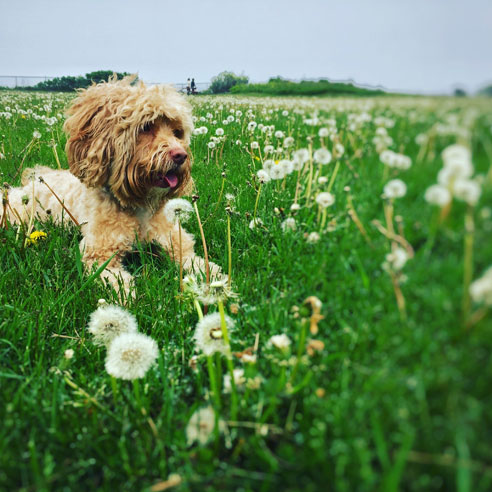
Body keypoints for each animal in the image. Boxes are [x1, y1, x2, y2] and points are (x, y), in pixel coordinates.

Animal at [1, 75, 217, 294]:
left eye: (177, 132)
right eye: (146, 127)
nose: (180, 155)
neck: (138, 206)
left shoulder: (174, 240)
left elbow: (196, 261)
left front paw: (214, 279)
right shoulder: (99, 255)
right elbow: (117, 281)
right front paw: (126, 296)